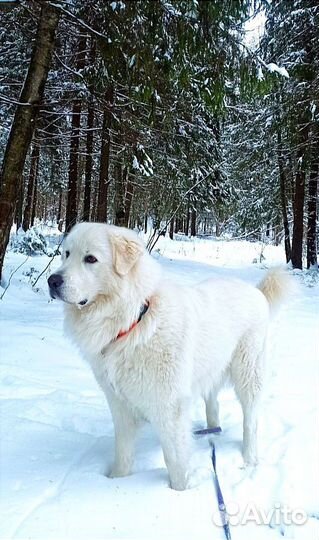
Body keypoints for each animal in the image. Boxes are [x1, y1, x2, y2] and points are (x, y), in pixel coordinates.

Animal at [48, 223, 290, 490]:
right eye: (66, 254)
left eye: (90, 259)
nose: (52, 280)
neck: (135, 320)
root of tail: (256, 291)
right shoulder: (120, 404)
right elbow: (123, 452)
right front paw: (117, 481)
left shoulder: (170, 407)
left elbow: (175, 460)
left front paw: (178, 492)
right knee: (213, 403)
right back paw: (211, 433)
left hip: (248, 373)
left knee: (251, 420)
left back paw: (248, 459)